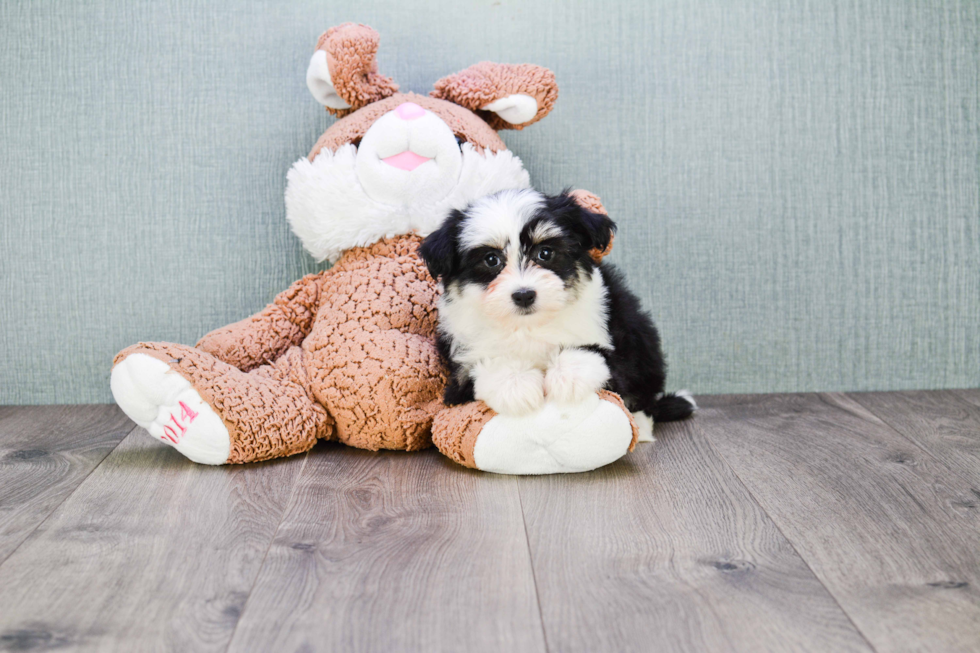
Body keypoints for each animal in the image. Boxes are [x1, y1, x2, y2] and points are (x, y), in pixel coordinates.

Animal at [418, 186, 692, 436]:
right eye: (491, 259)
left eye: (545, 253)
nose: (524, 295)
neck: (528, 325)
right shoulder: (460, 369)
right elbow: (481, 366)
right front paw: (516, 386)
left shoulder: (612, 338)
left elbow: (598, 355)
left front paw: (569, 377)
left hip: (641, 338)